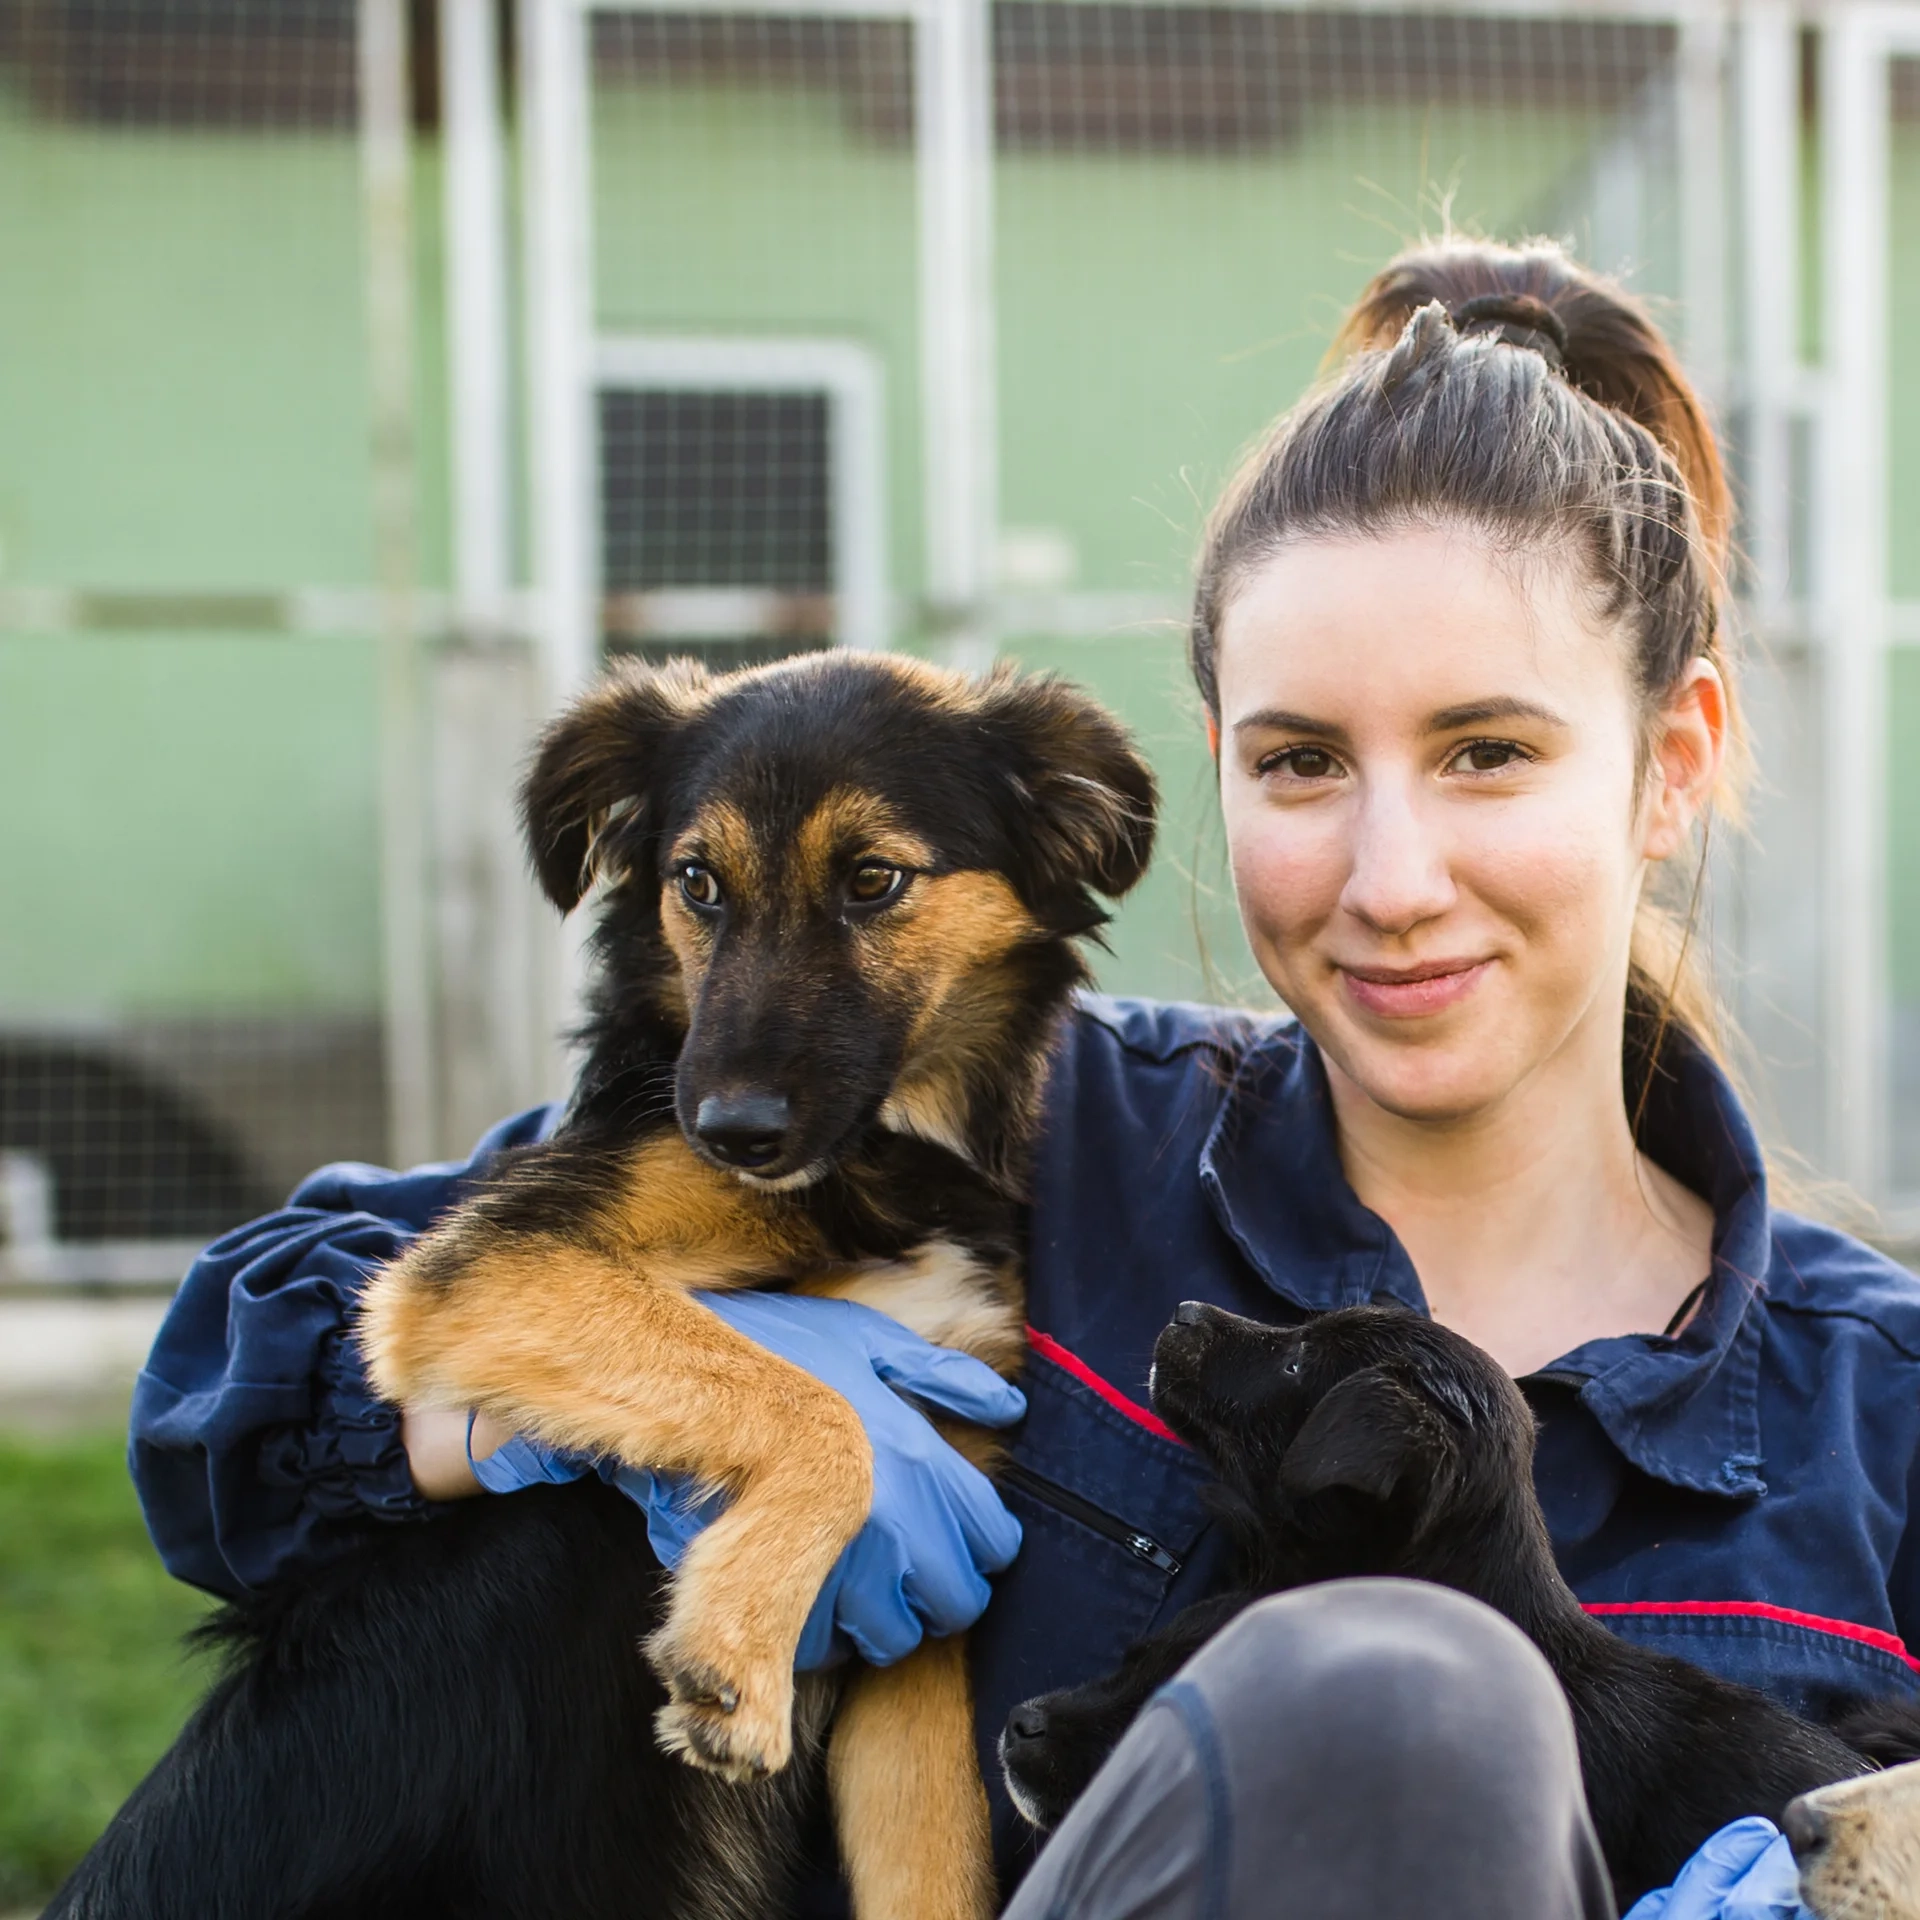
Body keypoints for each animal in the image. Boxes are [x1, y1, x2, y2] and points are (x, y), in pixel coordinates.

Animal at [48, 648, 1152, 1920]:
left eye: (875, 879)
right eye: (697, 882)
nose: (731, 1133)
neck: (883, 1168)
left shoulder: (923, 1604)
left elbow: (931, 1859)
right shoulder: (485, 1269)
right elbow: (823, 1405)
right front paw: (735, 1645)